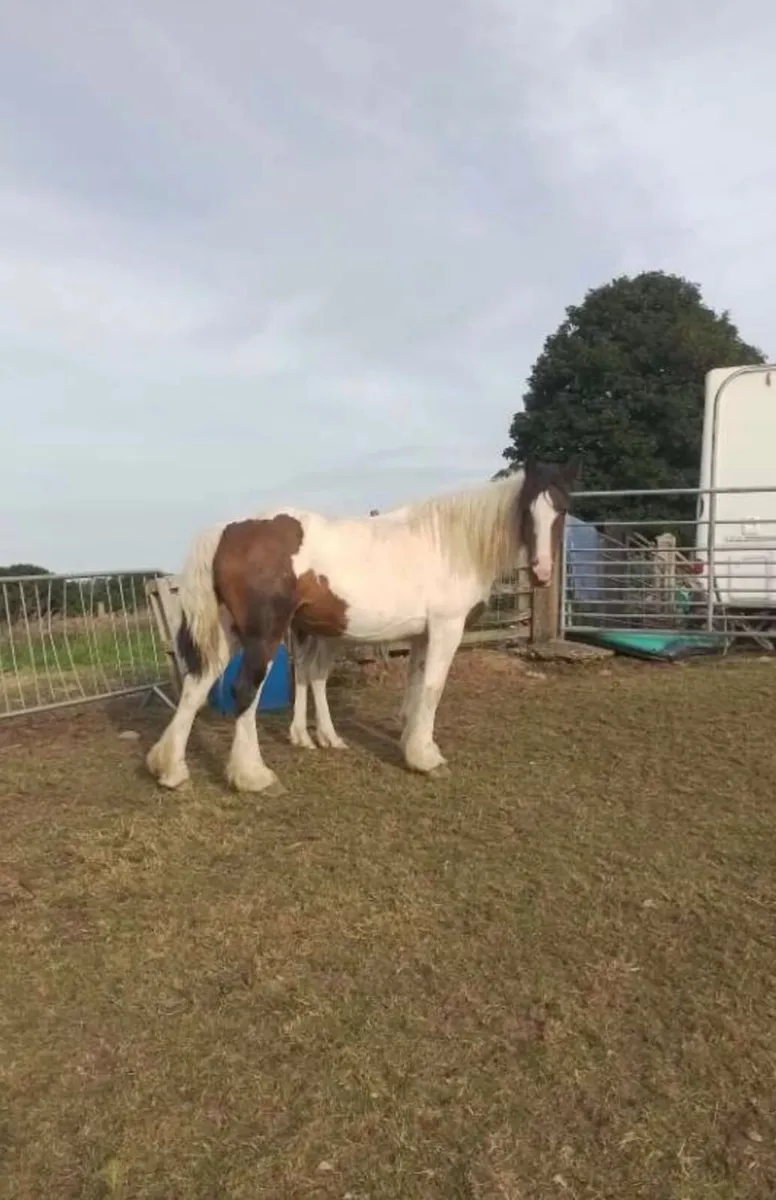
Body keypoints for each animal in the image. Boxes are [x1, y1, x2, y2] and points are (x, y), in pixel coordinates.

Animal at [145, 460, 578, 795]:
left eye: (562, 510)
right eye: (527, 510)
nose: (541, 572)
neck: (451, 546)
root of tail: (226, 531)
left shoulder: (422, 635)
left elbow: (416, 688)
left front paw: (409, 743)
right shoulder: (446, 629)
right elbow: (433, 690)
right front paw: (427, 758)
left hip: (230, 632)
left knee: (197, 686)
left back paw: (170, 770)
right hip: (263, 635)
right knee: (243, 691)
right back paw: (254, 776)